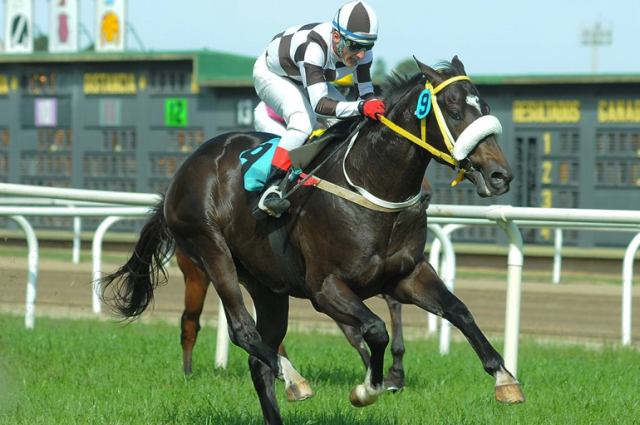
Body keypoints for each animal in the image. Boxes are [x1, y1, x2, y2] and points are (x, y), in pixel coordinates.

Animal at [102, 57, 524, 424]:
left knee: (259, 359)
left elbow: (459, 310)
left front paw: (505, 380)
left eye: (484, 105)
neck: (371, 185)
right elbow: (375, 330)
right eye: (453, 109)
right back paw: (294, 379)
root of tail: (183, 171)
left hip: (267, 285)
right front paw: (369, 388)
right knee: (243, 332)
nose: (500, 174)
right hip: (210, 251)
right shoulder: (326, 288)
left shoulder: (406, 276)